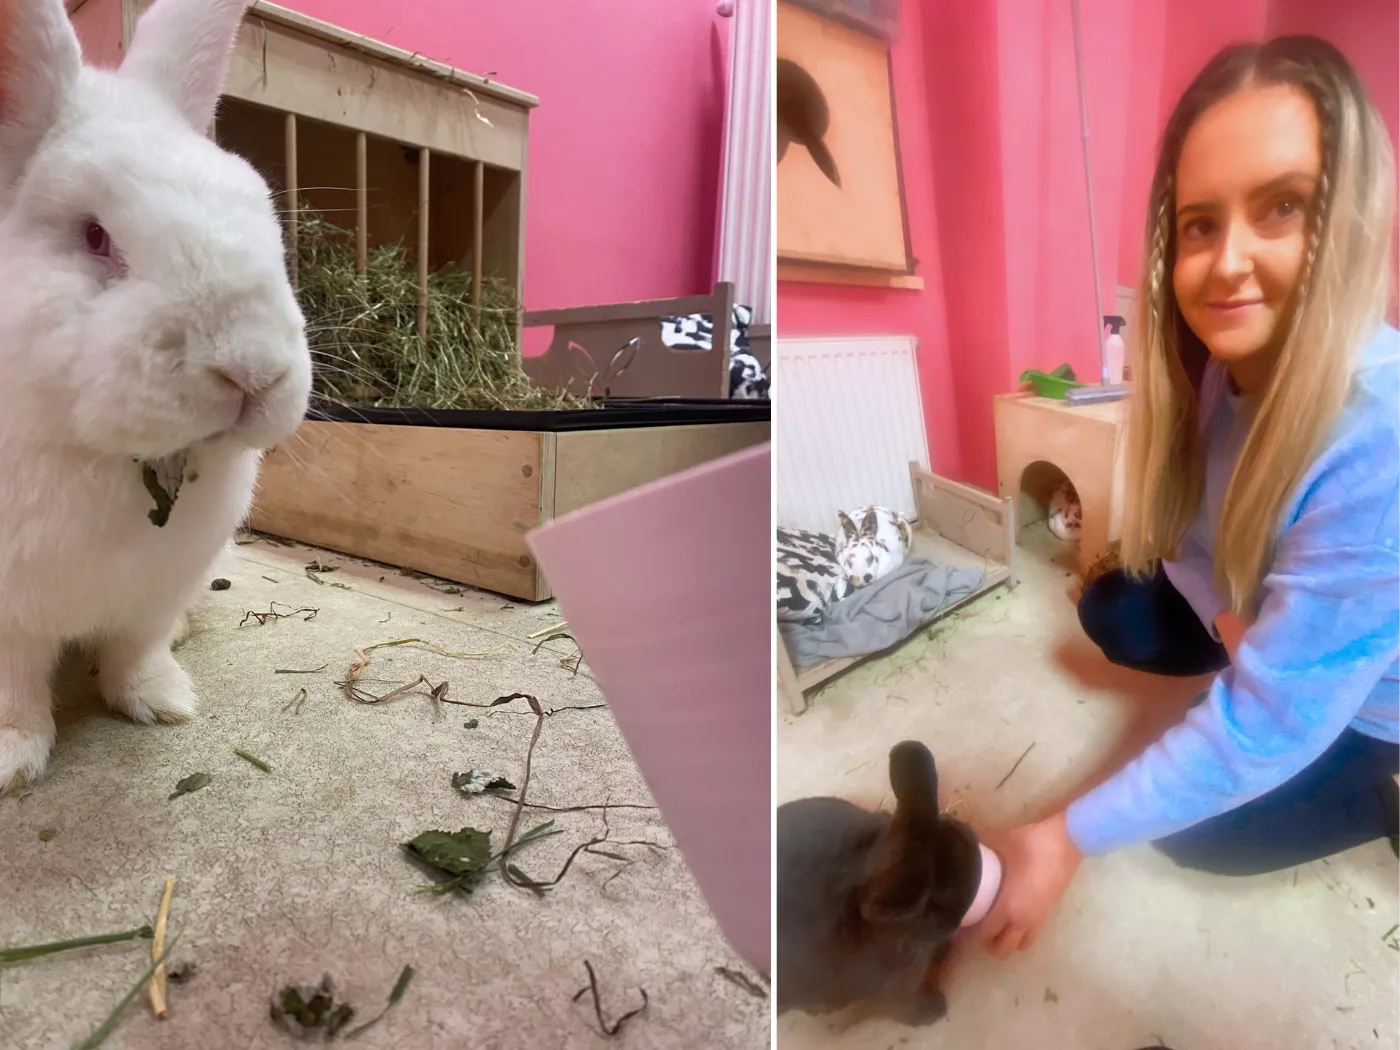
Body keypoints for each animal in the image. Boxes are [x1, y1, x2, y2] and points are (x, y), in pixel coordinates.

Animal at [0, 0, 312, 795]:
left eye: (262, 212)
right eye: (94, 235)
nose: (253, 372)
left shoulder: (158, 588)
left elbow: (135, 650)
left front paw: (164, 703)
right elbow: (12, 689)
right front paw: (13, 762)